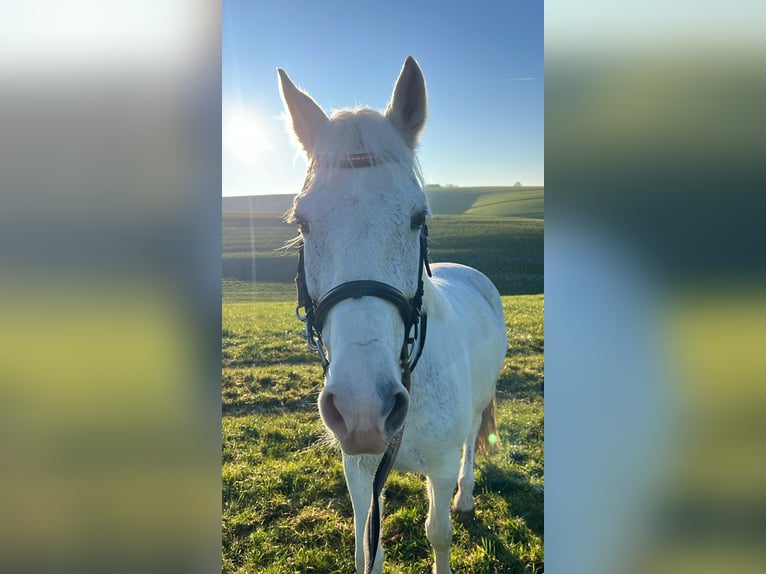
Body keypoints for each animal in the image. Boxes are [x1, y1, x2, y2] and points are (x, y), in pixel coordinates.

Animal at [280, 55, 508, 574]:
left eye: (418, 218)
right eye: (302, 222)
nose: (363, 409)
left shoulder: (439, 468)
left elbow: (438, 534)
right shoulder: (360, 469)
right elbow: (368, 549)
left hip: (477, 407)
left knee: (471, 443)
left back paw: (467, 499)